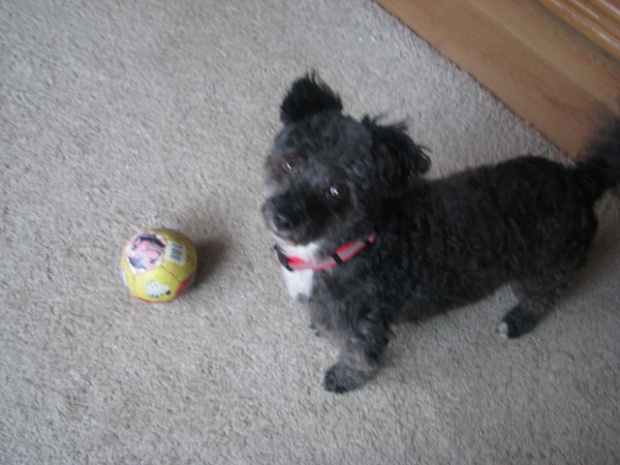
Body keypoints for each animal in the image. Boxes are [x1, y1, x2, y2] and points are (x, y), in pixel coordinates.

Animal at [261, 74, 620, 393]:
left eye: (338, 190)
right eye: (290, 163)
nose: (282, 217)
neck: (347, 245)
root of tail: (580, 182)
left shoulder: (362, 327)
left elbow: (361, 358)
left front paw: (344, 377)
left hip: (543, 271)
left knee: (543, 297)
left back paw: (517, 321)